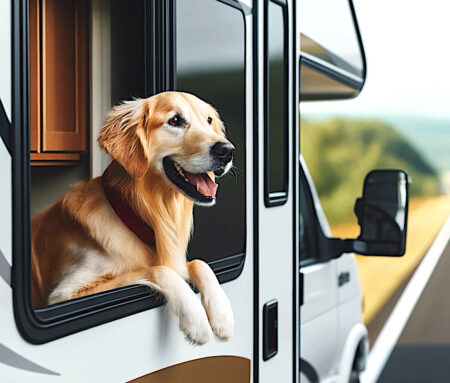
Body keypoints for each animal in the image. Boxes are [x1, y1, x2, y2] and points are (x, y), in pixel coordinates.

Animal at [31, 91, 236, 344]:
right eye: (175, 120)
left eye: (209, 120)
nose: (227, 150)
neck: (136, 218)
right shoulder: (65, 295)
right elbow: (155, 270)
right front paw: (195, 319)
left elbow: (199, 263)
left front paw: (222, 314)